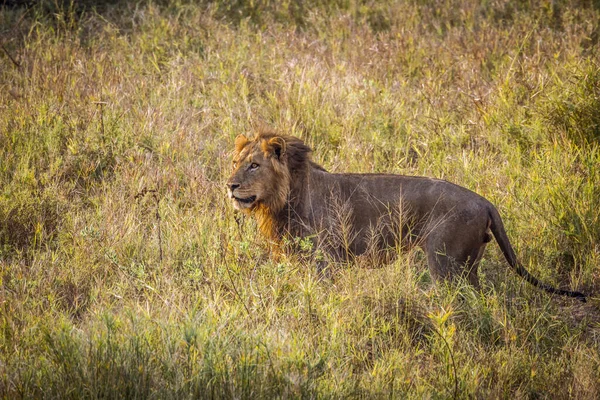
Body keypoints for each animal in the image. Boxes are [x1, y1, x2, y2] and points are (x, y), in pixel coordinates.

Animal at [225, 131, 584, 304]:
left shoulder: (326, 262)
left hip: (446, 262)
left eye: (254, 165)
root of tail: (486, 201)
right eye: (236, 162)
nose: (229, 185)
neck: (283, 199)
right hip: (467, 266)